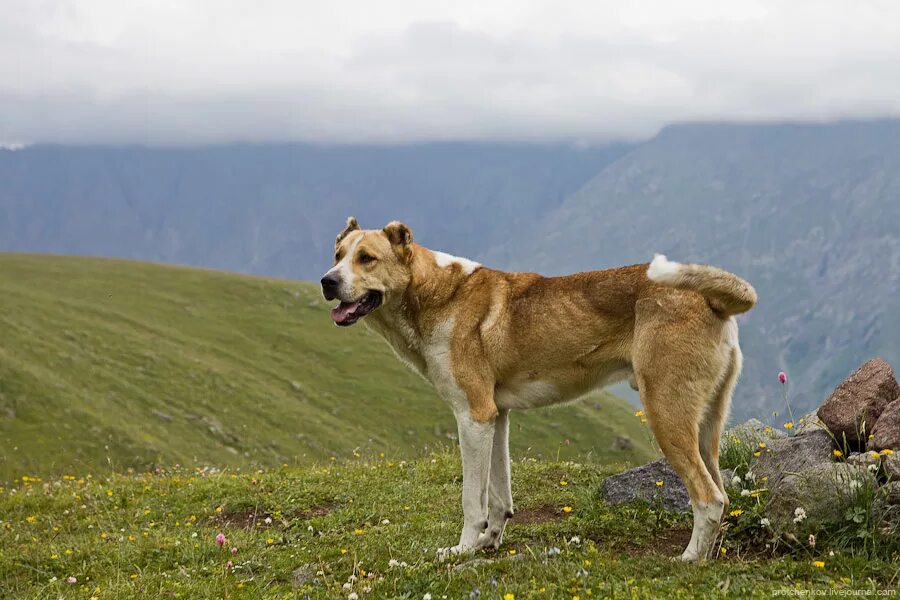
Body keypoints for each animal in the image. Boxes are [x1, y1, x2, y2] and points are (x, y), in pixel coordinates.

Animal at [320, 217, 756, 564]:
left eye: (367, 259)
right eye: (337, 255)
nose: (327, 281)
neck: (434, 294)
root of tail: (711, 299)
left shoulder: (473, 417)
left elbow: (471, 499)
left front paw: (461, 549)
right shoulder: (496, 417)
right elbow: (499, 497)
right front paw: (488, 542)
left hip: (667, 416)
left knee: (709, 497)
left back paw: (689, 559)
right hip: (705, 430)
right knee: (721, 493)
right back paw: (709, 554)